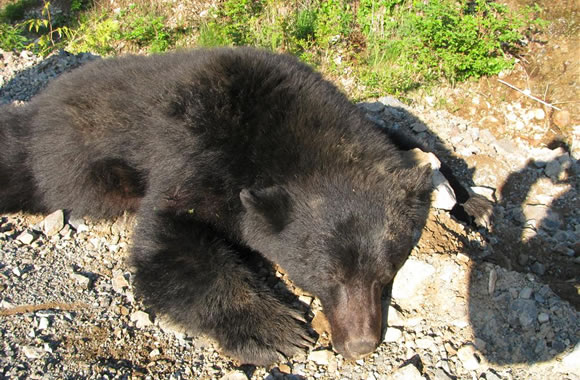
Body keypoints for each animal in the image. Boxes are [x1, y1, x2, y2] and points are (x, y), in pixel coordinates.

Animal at [1, 48, 444, 366]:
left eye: (387, 272)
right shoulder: (194, 148)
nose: (360, 344)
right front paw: (276, 331)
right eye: (327, 277)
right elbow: (168, 237)